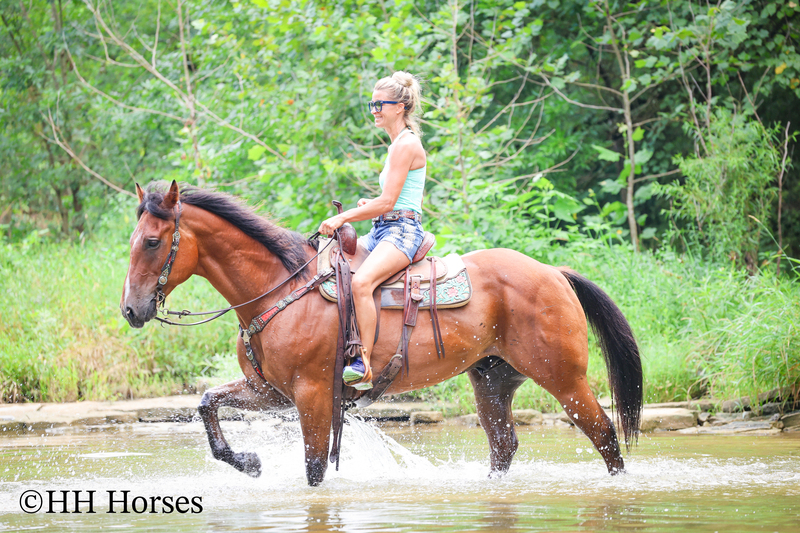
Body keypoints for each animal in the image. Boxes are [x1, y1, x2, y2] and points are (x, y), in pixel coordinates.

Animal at [120, 181, 642, 486]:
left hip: (563, 378)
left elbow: (314, 468)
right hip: (493, 378)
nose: (131, 309)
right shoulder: (269, 390)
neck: (280, 288)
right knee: (504, 447)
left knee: (604, 434)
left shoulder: (311, 394)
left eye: (153, 242)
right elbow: (207, 402)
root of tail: (553, 272)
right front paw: (246, 461)